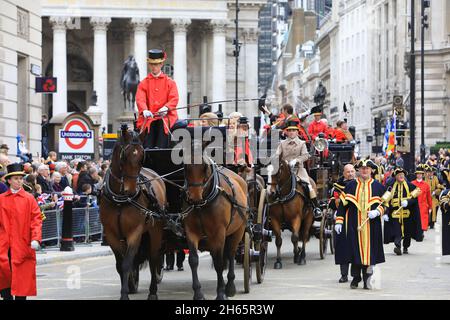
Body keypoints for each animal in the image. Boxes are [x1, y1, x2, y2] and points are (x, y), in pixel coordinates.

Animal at [99, 125, 166, 300]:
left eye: (142, 156)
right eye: (124, 156)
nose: (131, 189)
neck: (120, 199)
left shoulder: (134, 232)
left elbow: (127, 263)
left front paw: (124, 295)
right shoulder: (111, 234)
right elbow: (120, 264)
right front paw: (127, 287)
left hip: (155, 231)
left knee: (154, 259)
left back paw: (153, 292)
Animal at [182, 154, 248, 298]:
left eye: (204, 167)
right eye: (186, 167)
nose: (194, 197)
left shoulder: (218, 233)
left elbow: (219, 263)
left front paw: (221, 292)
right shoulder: (191, 232)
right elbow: (193, 260)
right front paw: (198, 293)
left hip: (238, 230)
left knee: (230, 253)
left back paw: (230, 286)